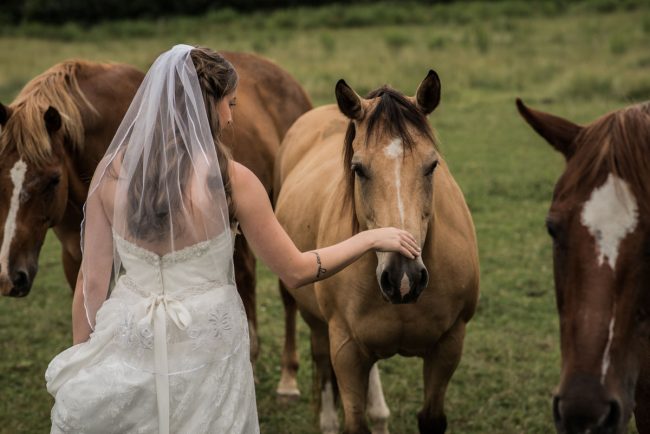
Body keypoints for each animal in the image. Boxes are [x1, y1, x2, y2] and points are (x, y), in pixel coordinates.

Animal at [274, 71, 480, 434]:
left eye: (432, 165)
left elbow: (431, 418)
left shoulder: (449, 345)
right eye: (358, 169)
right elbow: (354, 420)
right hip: (312, 316)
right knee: (320, 358)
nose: (403, 278)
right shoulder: (346, 350)